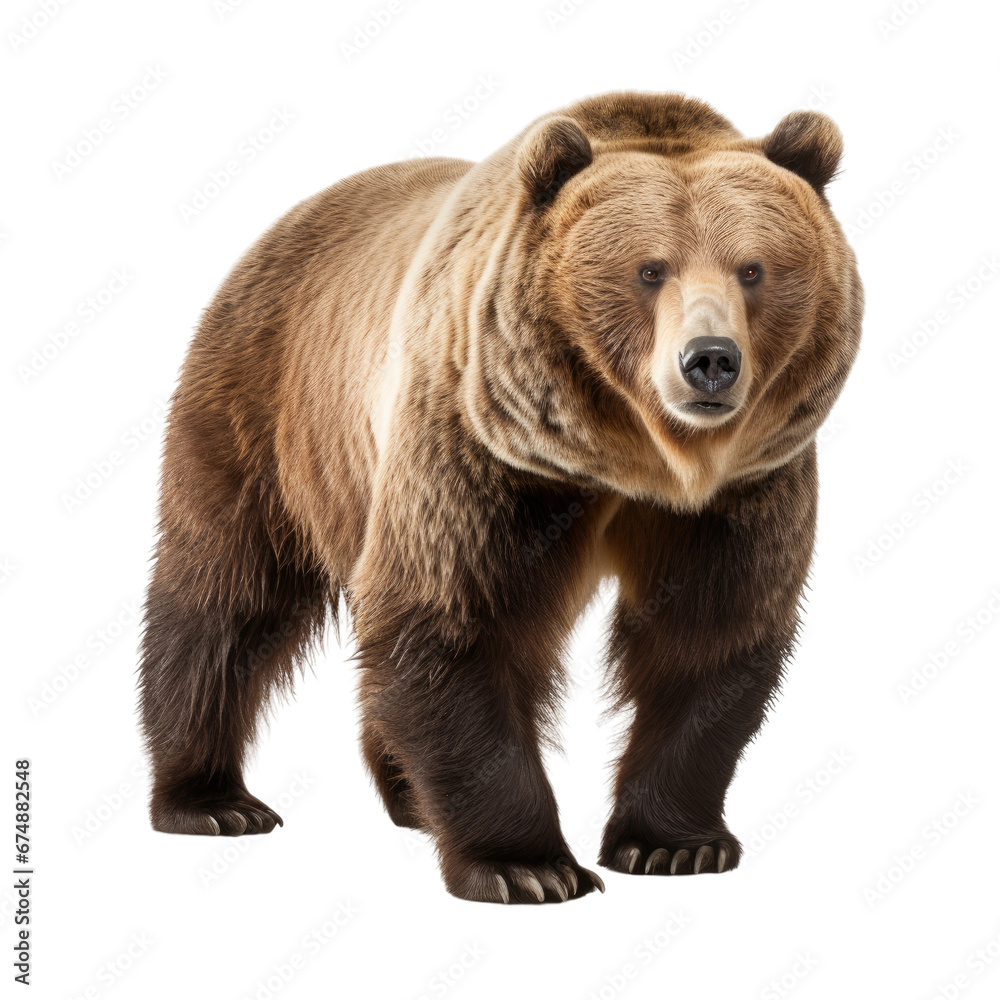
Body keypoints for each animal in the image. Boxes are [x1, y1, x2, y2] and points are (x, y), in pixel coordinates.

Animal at [138, 90, 862, 904]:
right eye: (649, 269)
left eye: (753, 268)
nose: (709, 360)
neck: (637, 461)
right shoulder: (485, 452)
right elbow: (456, 621)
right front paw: (528, 865)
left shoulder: (742, 489)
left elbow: (709, 633)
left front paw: (674, 844)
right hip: (267, 404)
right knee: (226, 590)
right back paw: (210, 799)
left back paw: (407, 796)